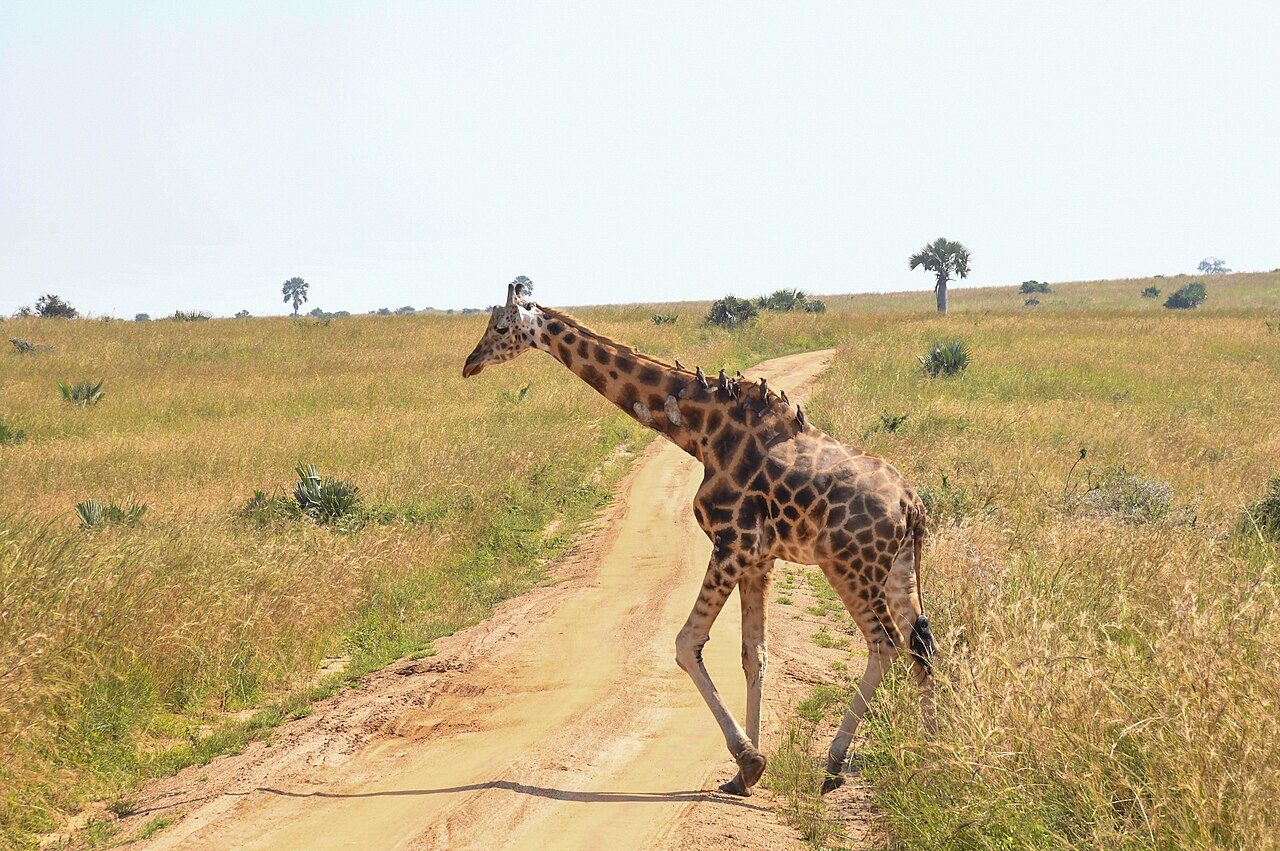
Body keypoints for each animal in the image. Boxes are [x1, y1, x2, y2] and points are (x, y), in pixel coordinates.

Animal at [463, 281, 936, 796]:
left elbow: (687, 643)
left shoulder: (731, 542)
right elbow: (755, 654)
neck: (702, 431)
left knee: (885, 644)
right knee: (921, 644)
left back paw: (834, 763)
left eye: (501, 327)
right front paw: (741, 777)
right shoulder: (758, 556)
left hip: (851, 567)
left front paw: (749, 759)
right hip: (898, 567)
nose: (470, 363)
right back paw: (931, 755)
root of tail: (911, 504)